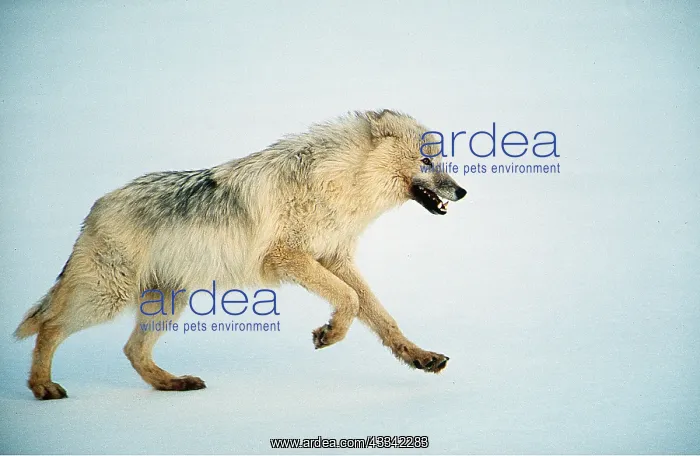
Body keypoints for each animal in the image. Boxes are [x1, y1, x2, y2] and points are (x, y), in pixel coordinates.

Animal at [14, 110, 466, 400]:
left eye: (441, 159)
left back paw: (173, 384)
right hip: (107, 298)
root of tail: (95, 208)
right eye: (427, 160)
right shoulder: (290, 258)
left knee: (132, 351)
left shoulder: (336, 261)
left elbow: (380, 315)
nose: (461, 191)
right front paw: (328, 334)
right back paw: (42, 387)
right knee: (50, 326)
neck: (342, 183)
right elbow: (350, 301)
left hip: (168, 301)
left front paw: (420, 357)